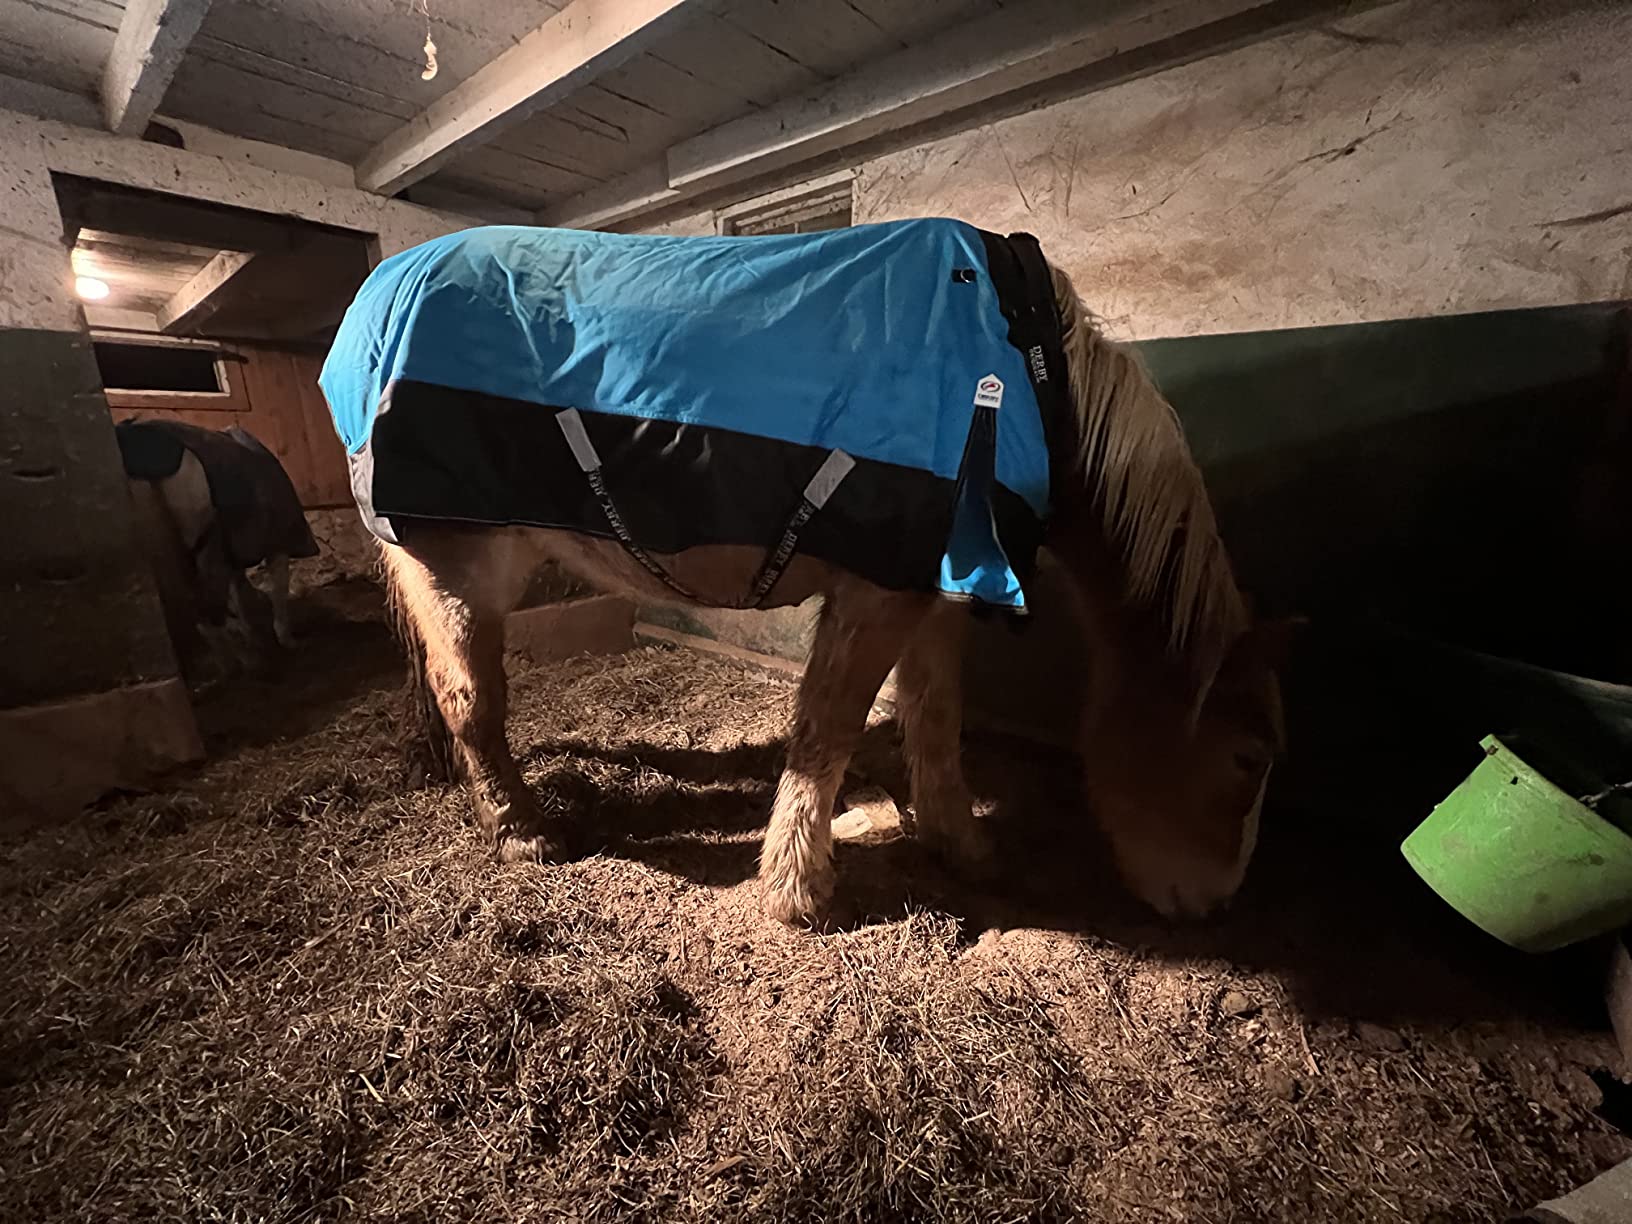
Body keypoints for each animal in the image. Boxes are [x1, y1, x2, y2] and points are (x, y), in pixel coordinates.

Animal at [116, 418, 318, 682]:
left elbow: (239, 598)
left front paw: (253, 635)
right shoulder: (277, 544)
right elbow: (278, 593)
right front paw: (287, 641)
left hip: (167, 555)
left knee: (199, 612)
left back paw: (228, 667)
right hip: (201, 548)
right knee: (209, 611)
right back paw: (247, 664)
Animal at [320, 220, 1295, 927]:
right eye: (1248, 758)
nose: (1212, 906)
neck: (1012, 370)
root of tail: (382, 288)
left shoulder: (934, 594)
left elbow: (935, 719)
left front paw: (960, 845)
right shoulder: (878, 594)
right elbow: (828, 728)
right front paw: (798, 888)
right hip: (456, 558)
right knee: (469, 696)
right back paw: (521, 831)